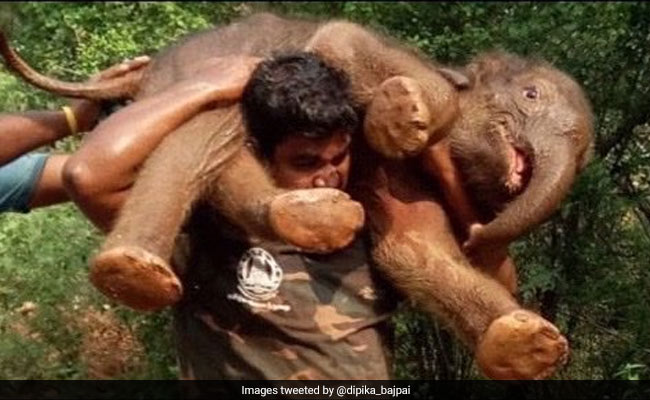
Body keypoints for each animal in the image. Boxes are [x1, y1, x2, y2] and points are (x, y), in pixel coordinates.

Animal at [0, 12, 593, 380]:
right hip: (192, 81)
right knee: (216, 126)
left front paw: (525, 344)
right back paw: (139, 267)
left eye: (586, 153)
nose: (478, 232)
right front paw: (405, 114)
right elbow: (341, 40)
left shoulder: (407, 180)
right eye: (531, 94)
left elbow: (412, 247)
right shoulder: (380, 58)